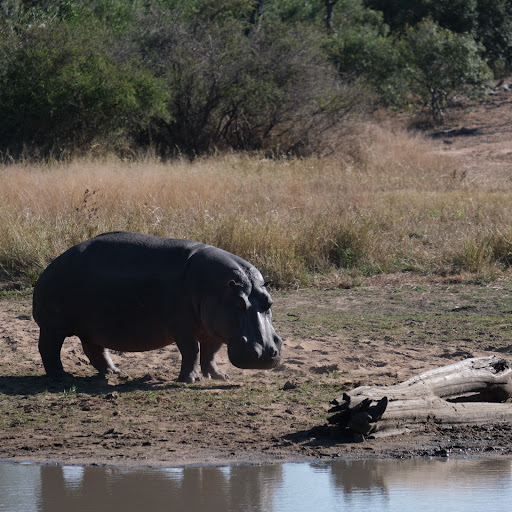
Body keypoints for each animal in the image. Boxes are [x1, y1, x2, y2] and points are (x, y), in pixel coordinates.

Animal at [32, 231, 282, 383]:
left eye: (269, 302)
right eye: (238, 304)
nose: (265, 354)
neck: (216, 287)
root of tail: (53, 263)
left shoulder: (213, 328)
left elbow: (210, 352)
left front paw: (218, 376)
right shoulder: (182, 326)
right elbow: (192, 349)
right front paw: (191, 379)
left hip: (91, 327)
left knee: (94, 349)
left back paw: (115, 372)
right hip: (53, 326)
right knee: (49, 349)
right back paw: (62, 377)